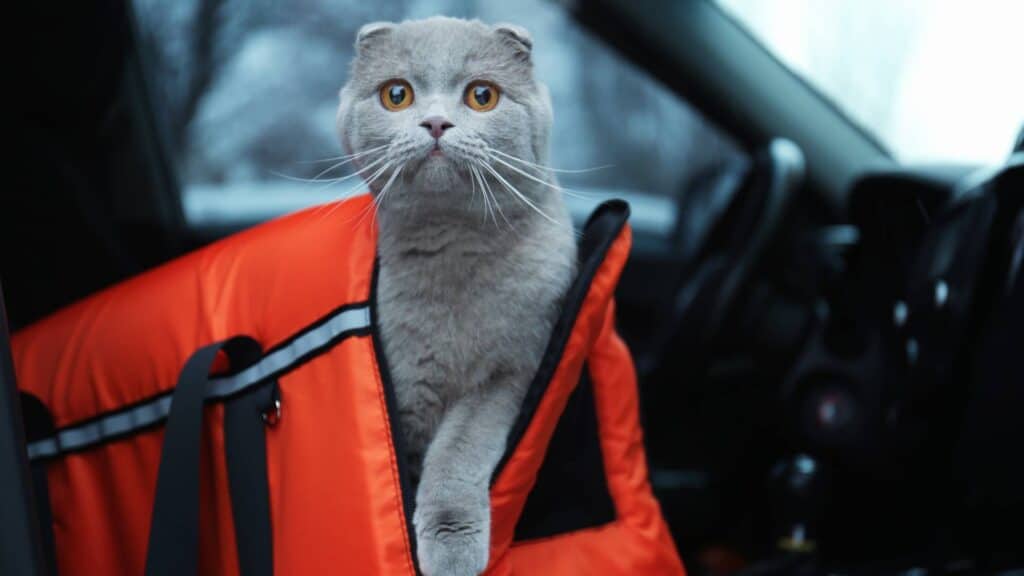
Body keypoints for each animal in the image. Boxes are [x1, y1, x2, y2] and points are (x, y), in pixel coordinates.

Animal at [335, 15, 577, 569]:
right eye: (397, 94)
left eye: (482, 96)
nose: (436, 124)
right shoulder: (403, 386)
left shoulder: (510, 371)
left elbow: (458, 450)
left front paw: (451, 547)